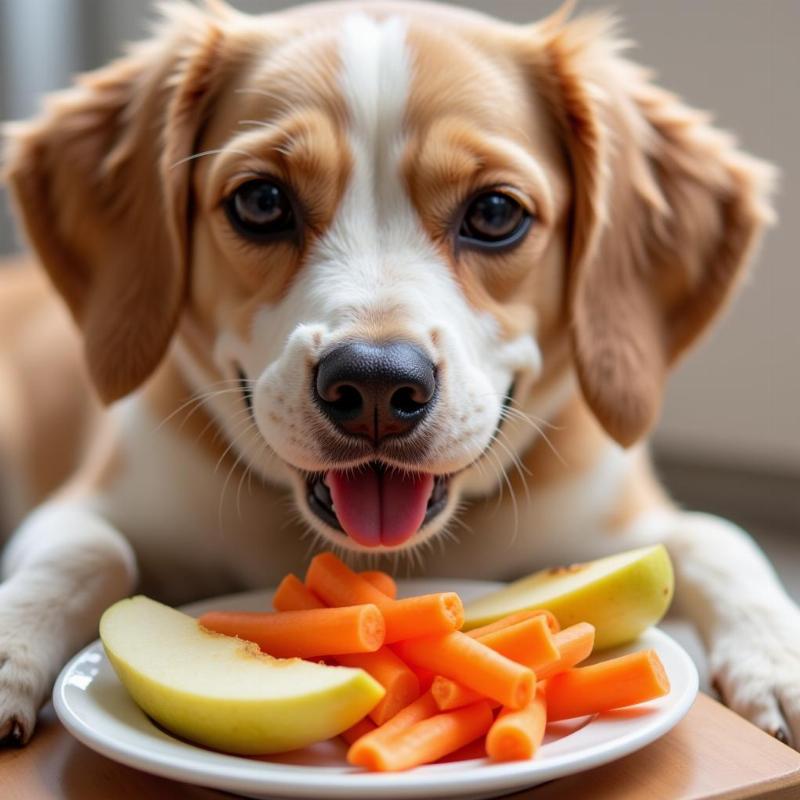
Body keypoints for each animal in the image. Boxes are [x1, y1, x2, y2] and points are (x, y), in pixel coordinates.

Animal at [0, 0, 792, 752]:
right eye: (261, 202)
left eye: (495, 212)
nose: (376, 385)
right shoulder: (87, 505)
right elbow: (87, 551)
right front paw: (10, 650)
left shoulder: (620, 514)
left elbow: (716, 537)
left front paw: (776, 659)